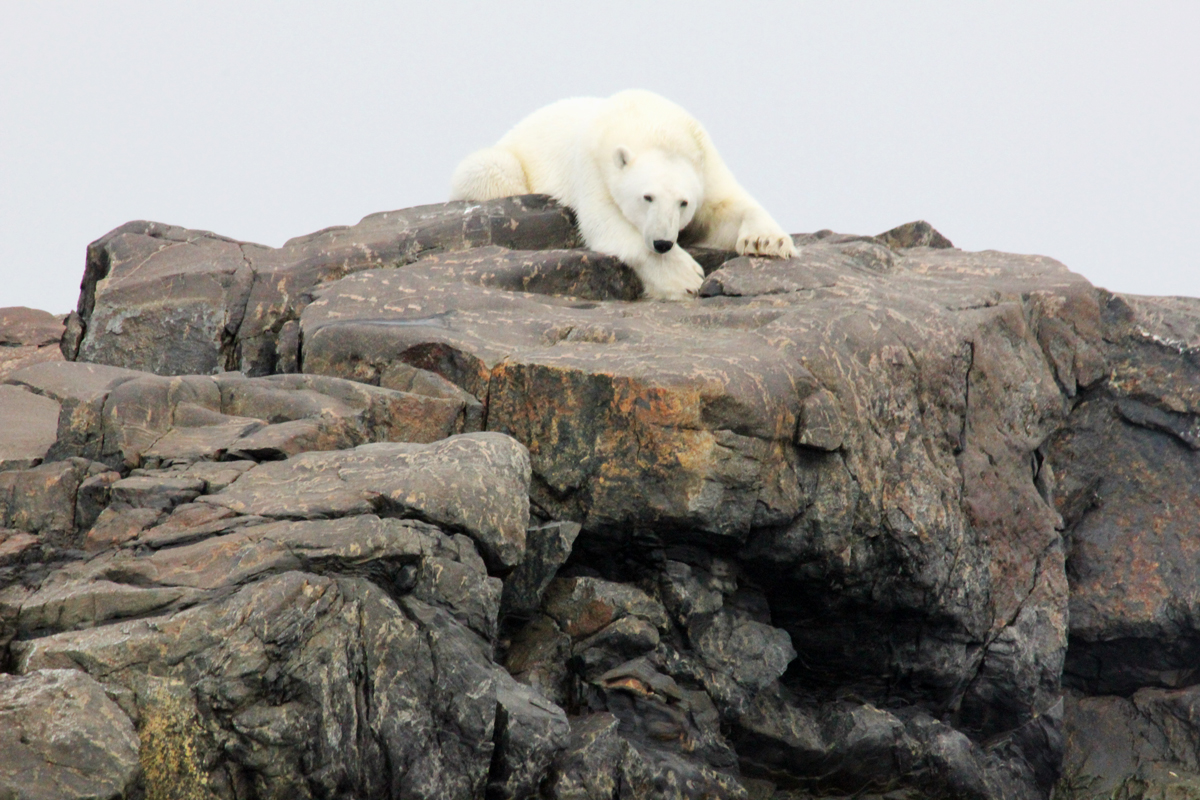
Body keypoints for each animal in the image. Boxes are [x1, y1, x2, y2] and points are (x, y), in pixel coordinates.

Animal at [449, 90, 797, 300]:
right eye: (647, 197)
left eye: (683, 203)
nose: (663, 242)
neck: (649, 122)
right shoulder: (593, 166)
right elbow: (606, 223)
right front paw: (685, 276)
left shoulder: (705, 163)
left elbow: (722, 210)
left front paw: (769, 242)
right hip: (505, 161)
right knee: (491, 169)